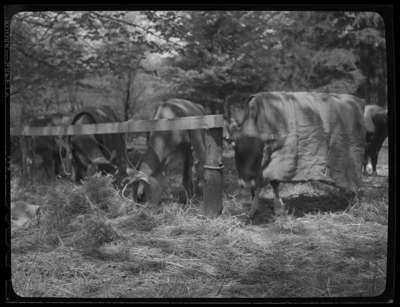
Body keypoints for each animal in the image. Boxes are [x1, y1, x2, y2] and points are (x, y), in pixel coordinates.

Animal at [227, 91, 368, 219]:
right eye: (234, 146)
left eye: (260, 150)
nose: (246, 183)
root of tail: (357, 100)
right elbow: (260, 187)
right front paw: (254, 209)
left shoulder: (276, 163)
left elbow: (273, 183)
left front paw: (278, 209)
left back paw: (356, 203)